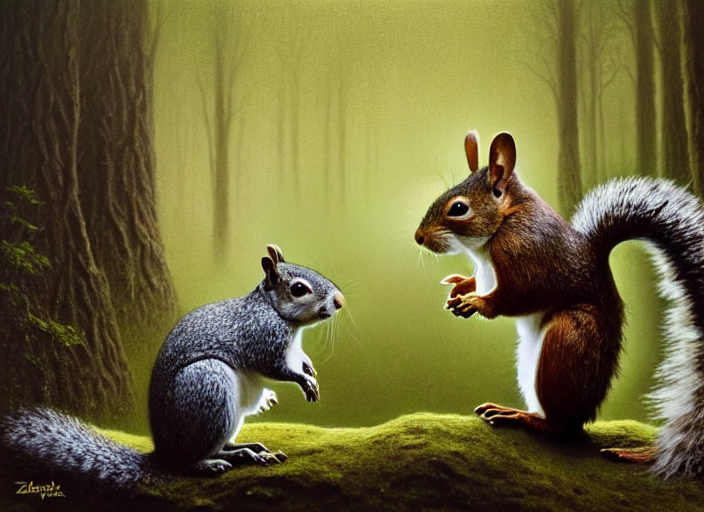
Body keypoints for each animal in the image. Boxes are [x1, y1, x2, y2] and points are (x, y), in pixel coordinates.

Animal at [1, 245, 345, 490]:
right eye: (299, 288)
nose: (340, 300)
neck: (277, 313)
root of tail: (162, 453)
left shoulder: (293, 348)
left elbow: (300, 359)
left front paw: (309, 371)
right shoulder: (261, 337)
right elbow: (275, 367)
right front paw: (303, 382)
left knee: (221, 443)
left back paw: (249, 448)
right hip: (209, 385)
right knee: (193, 458)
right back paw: (226, 460)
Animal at [415, 130, 704, 479]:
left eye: (458, 208)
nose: (418, 237)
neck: (505, 220)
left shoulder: (525, 253)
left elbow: (519, 294)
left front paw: (476, 303)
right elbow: (476, 281)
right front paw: (460, 287)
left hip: (566, 343)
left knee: (559, 428)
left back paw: (519, 417)